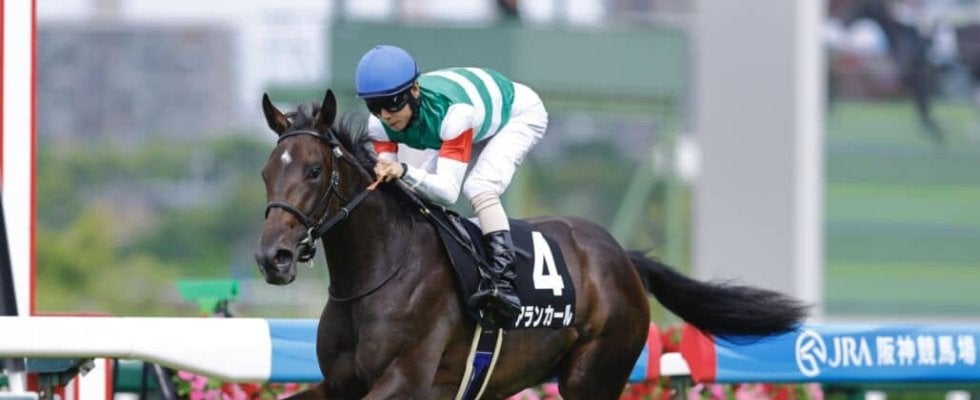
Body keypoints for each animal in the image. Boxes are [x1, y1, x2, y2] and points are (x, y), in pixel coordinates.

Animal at [254, 89, 809, 400]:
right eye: (265, 173)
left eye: (314, 170)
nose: (271, 258)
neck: (377, 275)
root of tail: (623, 258)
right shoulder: (339, 385)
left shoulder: (405, 383)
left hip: (593, 376)